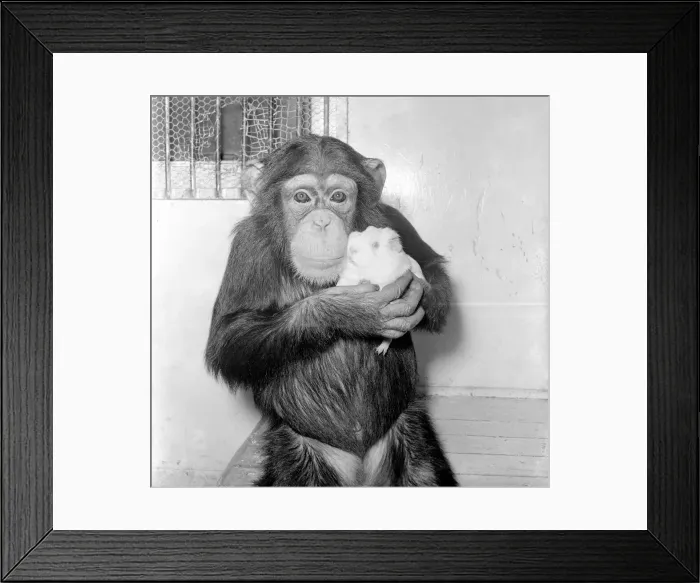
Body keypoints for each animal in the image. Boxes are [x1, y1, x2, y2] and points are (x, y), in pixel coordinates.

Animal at [337, 226, 425, 355]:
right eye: (361, 233)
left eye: (376, 244)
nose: (352, 250)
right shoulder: (349, 277)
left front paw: (364, 281)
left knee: (388, 339)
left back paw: (380, 351)